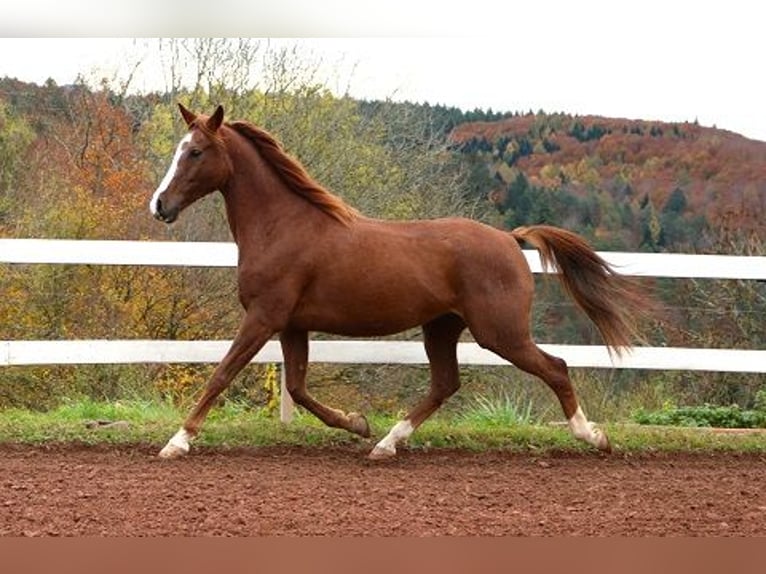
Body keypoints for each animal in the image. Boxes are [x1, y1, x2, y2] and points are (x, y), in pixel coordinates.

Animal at [150, 104, 648, 460]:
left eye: (195, 151)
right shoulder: (292, 325)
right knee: (445, 384)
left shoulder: (263, 317)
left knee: (555, 367)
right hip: (442, 327)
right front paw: (358, 423)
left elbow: (222, 373)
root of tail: (510, 238)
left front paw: (177, 442)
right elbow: (298, 388)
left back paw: (594, 437)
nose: (160, 205)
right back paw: (385, 443)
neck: (283, 226)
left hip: (499, 332)